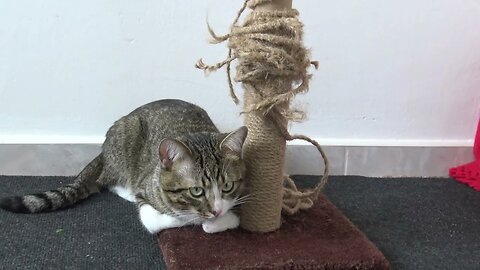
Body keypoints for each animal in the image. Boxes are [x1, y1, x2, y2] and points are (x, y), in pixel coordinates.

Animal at [0, 99, 248, 234]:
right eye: (196, 190)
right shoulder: (147, 190)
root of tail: (104, 150)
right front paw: (191, 219)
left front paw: (214, 220)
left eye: (227, 186)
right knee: (108, 181)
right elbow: (158, 218)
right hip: (127, 137)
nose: (216, 210)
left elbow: (228, 219)